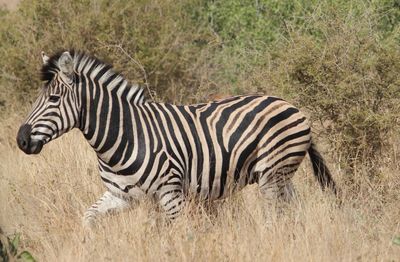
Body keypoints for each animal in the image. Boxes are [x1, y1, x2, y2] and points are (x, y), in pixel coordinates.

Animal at [17, 50, 336, 227]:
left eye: (54, 99)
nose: (21, 140)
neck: (125, 135)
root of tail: (292, 105)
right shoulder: (121, 195)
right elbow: (88, 219)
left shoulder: (170, 194)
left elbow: (176, 237)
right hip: (281, 177)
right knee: (294, 211)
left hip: (272, 173)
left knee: (274, 217)